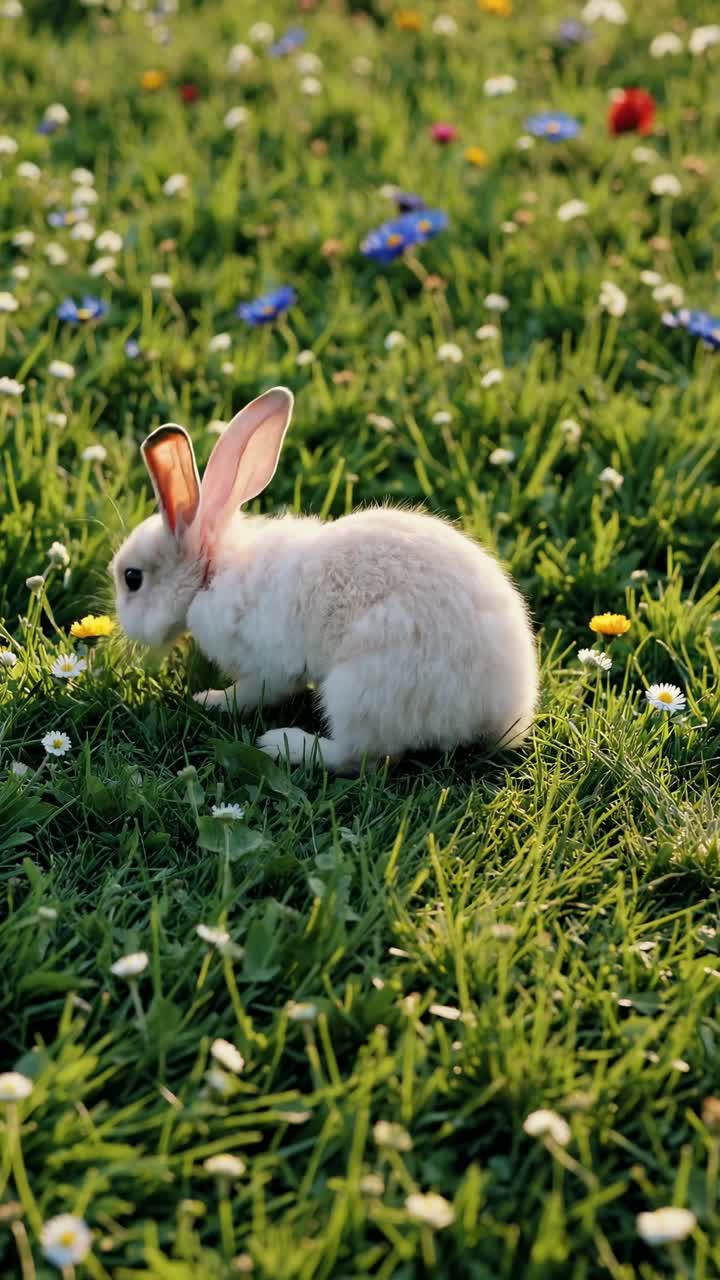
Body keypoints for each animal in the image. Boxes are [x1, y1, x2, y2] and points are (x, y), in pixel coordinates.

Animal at [111, 386, 539, 772]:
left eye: (132, 578)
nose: (125, 630)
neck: (211, 573)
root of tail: (498, 714)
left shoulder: (267, 666)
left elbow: (252, 693)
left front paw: (211, 700)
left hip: (357, 690)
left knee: (363, 757)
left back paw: (283, 744)